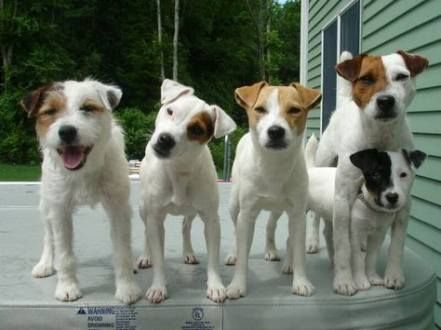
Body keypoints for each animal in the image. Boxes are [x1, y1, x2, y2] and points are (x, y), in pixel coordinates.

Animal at [21, 78, 141, 304]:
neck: (85, 170)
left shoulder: (118, 208)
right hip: (46, 205)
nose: (67, 131)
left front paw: (127, 288)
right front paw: (67, 287)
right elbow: (64, 254)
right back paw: (45, 264)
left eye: (87, 108)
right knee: (49, 237)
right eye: (50, 111)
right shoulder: (60, 211)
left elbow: (122, 250)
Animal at [138, 79, 235, 304]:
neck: (179, 170)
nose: (165, 139)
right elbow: (158, 255)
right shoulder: (155, 217)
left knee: (185, 226)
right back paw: (146, 256)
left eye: (197, 129)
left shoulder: (211, 220)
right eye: (170, 111)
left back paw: (188, 252)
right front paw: (158, 286)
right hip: (143, 208)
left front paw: (215, 285)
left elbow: (213, 259)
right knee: (146, 230)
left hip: (192, 211)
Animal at [225, 80, 322, 300]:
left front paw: (301, 281)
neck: (273, 166)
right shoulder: (246, 214)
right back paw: (232, 253)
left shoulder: (298, 214)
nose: (275, 131)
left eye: (294, 110)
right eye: (260, 109)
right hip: (234, 204)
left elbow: (298, 250)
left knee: (272, 227)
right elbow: (242, 251)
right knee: (235, 229)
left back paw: (276, 253)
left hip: (279, 209)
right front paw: (237, 285)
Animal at [314, 50, 428, 296]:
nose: (385, 101)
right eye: (366, 79)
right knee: (317, 220)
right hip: (322, 164)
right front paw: (345, 280)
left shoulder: (405, 203)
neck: (380, 136)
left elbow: (397, 245)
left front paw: (393, 276)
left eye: (401, 76)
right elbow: (343, 245)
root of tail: (345, 101)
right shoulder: (343, 195)